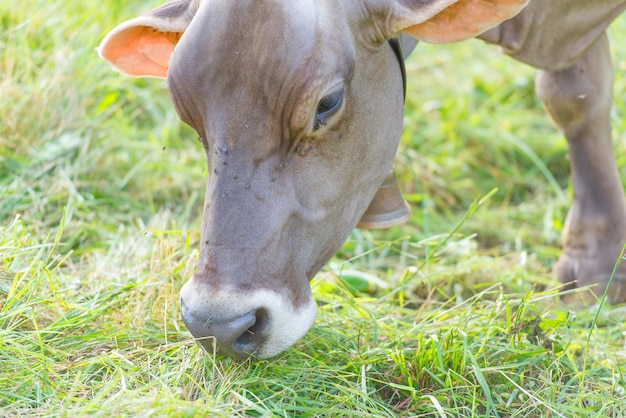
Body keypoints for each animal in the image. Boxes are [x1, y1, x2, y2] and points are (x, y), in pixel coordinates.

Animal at [97, 0, 624, 360]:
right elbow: (574, 95)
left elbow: (575, 97)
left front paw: (595, 269)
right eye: (188, 114)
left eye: (327, 103)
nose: (217, 325)